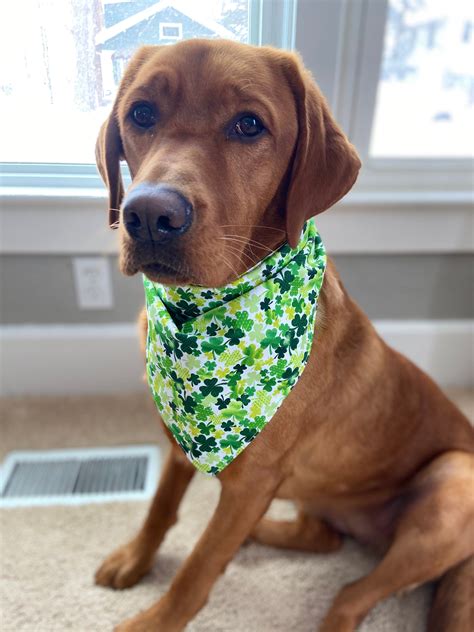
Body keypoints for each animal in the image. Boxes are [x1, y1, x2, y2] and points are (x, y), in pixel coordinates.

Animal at [93, 39, 474, 632]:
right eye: (141, 114)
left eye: (249, 125)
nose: (151, 214)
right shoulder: (178, 444)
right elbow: (161, 509)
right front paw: (136, 558)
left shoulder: (253, 480)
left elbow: (199, 566)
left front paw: (156, 620)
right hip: (317, 500)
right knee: (320, 537)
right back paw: (260, 534)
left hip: (454, 483)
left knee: (351, 594)